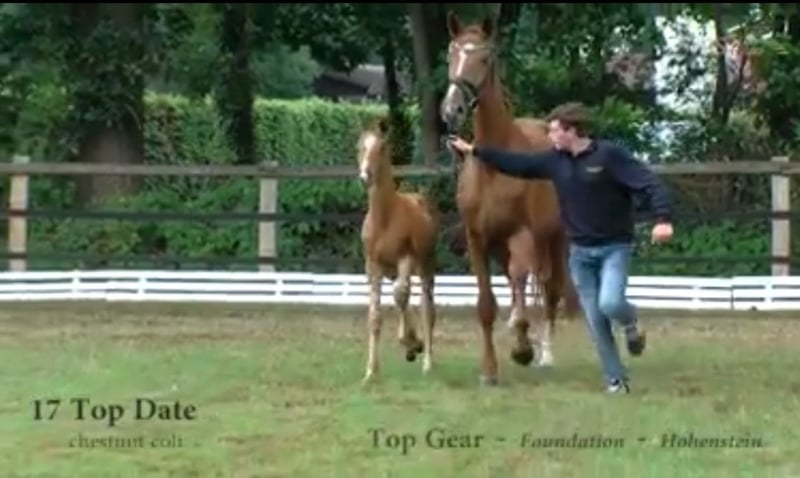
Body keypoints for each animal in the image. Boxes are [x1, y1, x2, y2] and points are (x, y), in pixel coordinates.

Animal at [357, 116, 440, 383]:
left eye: (382, 147)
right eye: (359, 146)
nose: (365, 176)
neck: (385, 219)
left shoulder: (406, 257)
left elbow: (401, 295)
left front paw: (412, 342)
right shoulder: (372, 266)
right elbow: (375, 316)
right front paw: (371, 371)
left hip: (426, 264)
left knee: (426, 307)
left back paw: (426, 360)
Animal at [440, 12, 581, 386]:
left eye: (484, 58)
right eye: (451, 54)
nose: (451, 110)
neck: (494, 167)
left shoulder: (524, 235)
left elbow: (522, 283)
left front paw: (522, 347)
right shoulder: (478, 238)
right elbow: (486, 304)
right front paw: (490, 370)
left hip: (553, 239)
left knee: (549, 288)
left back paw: (544, 353)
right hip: (502, 245)